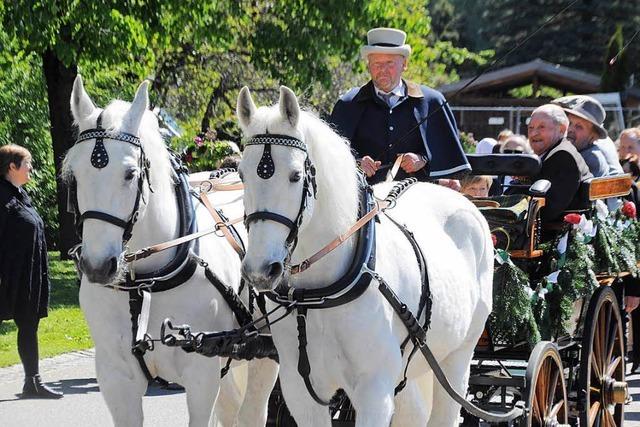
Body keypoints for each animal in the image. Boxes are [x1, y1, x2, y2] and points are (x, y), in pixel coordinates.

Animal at [62, 77, 278, 427]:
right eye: (75, 176)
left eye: (130, 173)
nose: (97, 266)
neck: (146, 282)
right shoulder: (115, 378)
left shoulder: (202, 375)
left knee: (252, 411)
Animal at [238, 87, 492, 427]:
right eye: (242, 175)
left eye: (294, 176)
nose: (261, 270)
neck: (318, 295)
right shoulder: (301, 392)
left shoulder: (375, 391)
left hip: (457, 357)